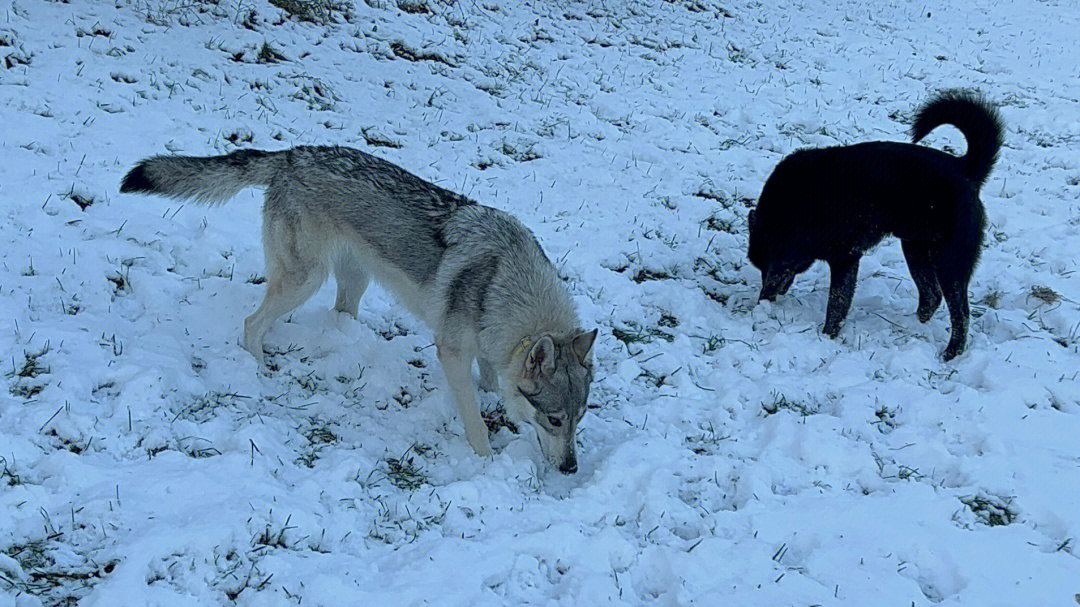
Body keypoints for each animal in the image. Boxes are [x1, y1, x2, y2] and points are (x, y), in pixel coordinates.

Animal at [751, 90, 1002, 358]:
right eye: (761, 267)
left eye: (775, 267)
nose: (762, 302)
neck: (798, 207)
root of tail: (966, 168)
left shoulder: (845, 258)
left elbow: (836, 304)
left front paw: (827, 337)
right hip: (915, 250)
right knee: (931, 296)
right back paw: (913, 326)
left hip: (949, 263)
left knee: (961, 315)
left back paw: (951, 353)